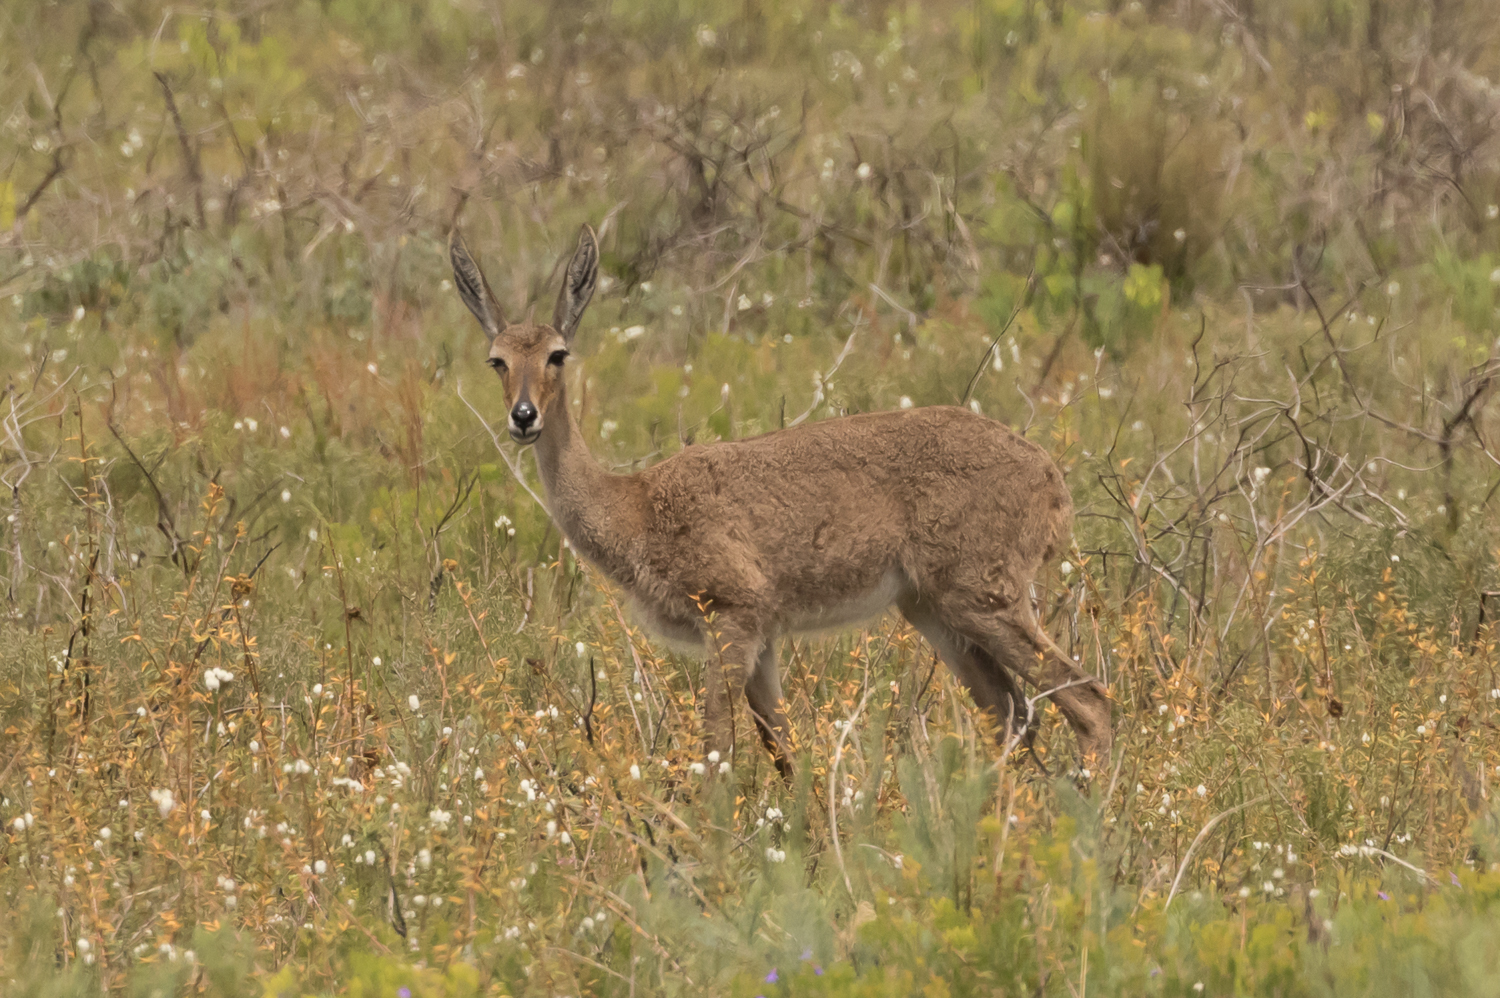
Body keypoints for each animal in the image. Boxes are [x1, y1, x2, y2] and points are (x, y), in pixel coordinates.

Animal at [450, 222, 1110, 774]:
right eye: (496, 360)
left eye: (558, 354)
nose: (524, 417)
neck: (634, 506)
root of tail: (1051, 478)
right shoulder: (764, 638)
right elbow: (786, 750)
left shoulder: (731, 618)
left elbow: (717, 749)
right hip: (935, 612)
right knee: (1016, 714)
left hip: (985, 599)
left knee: (1088, 699)